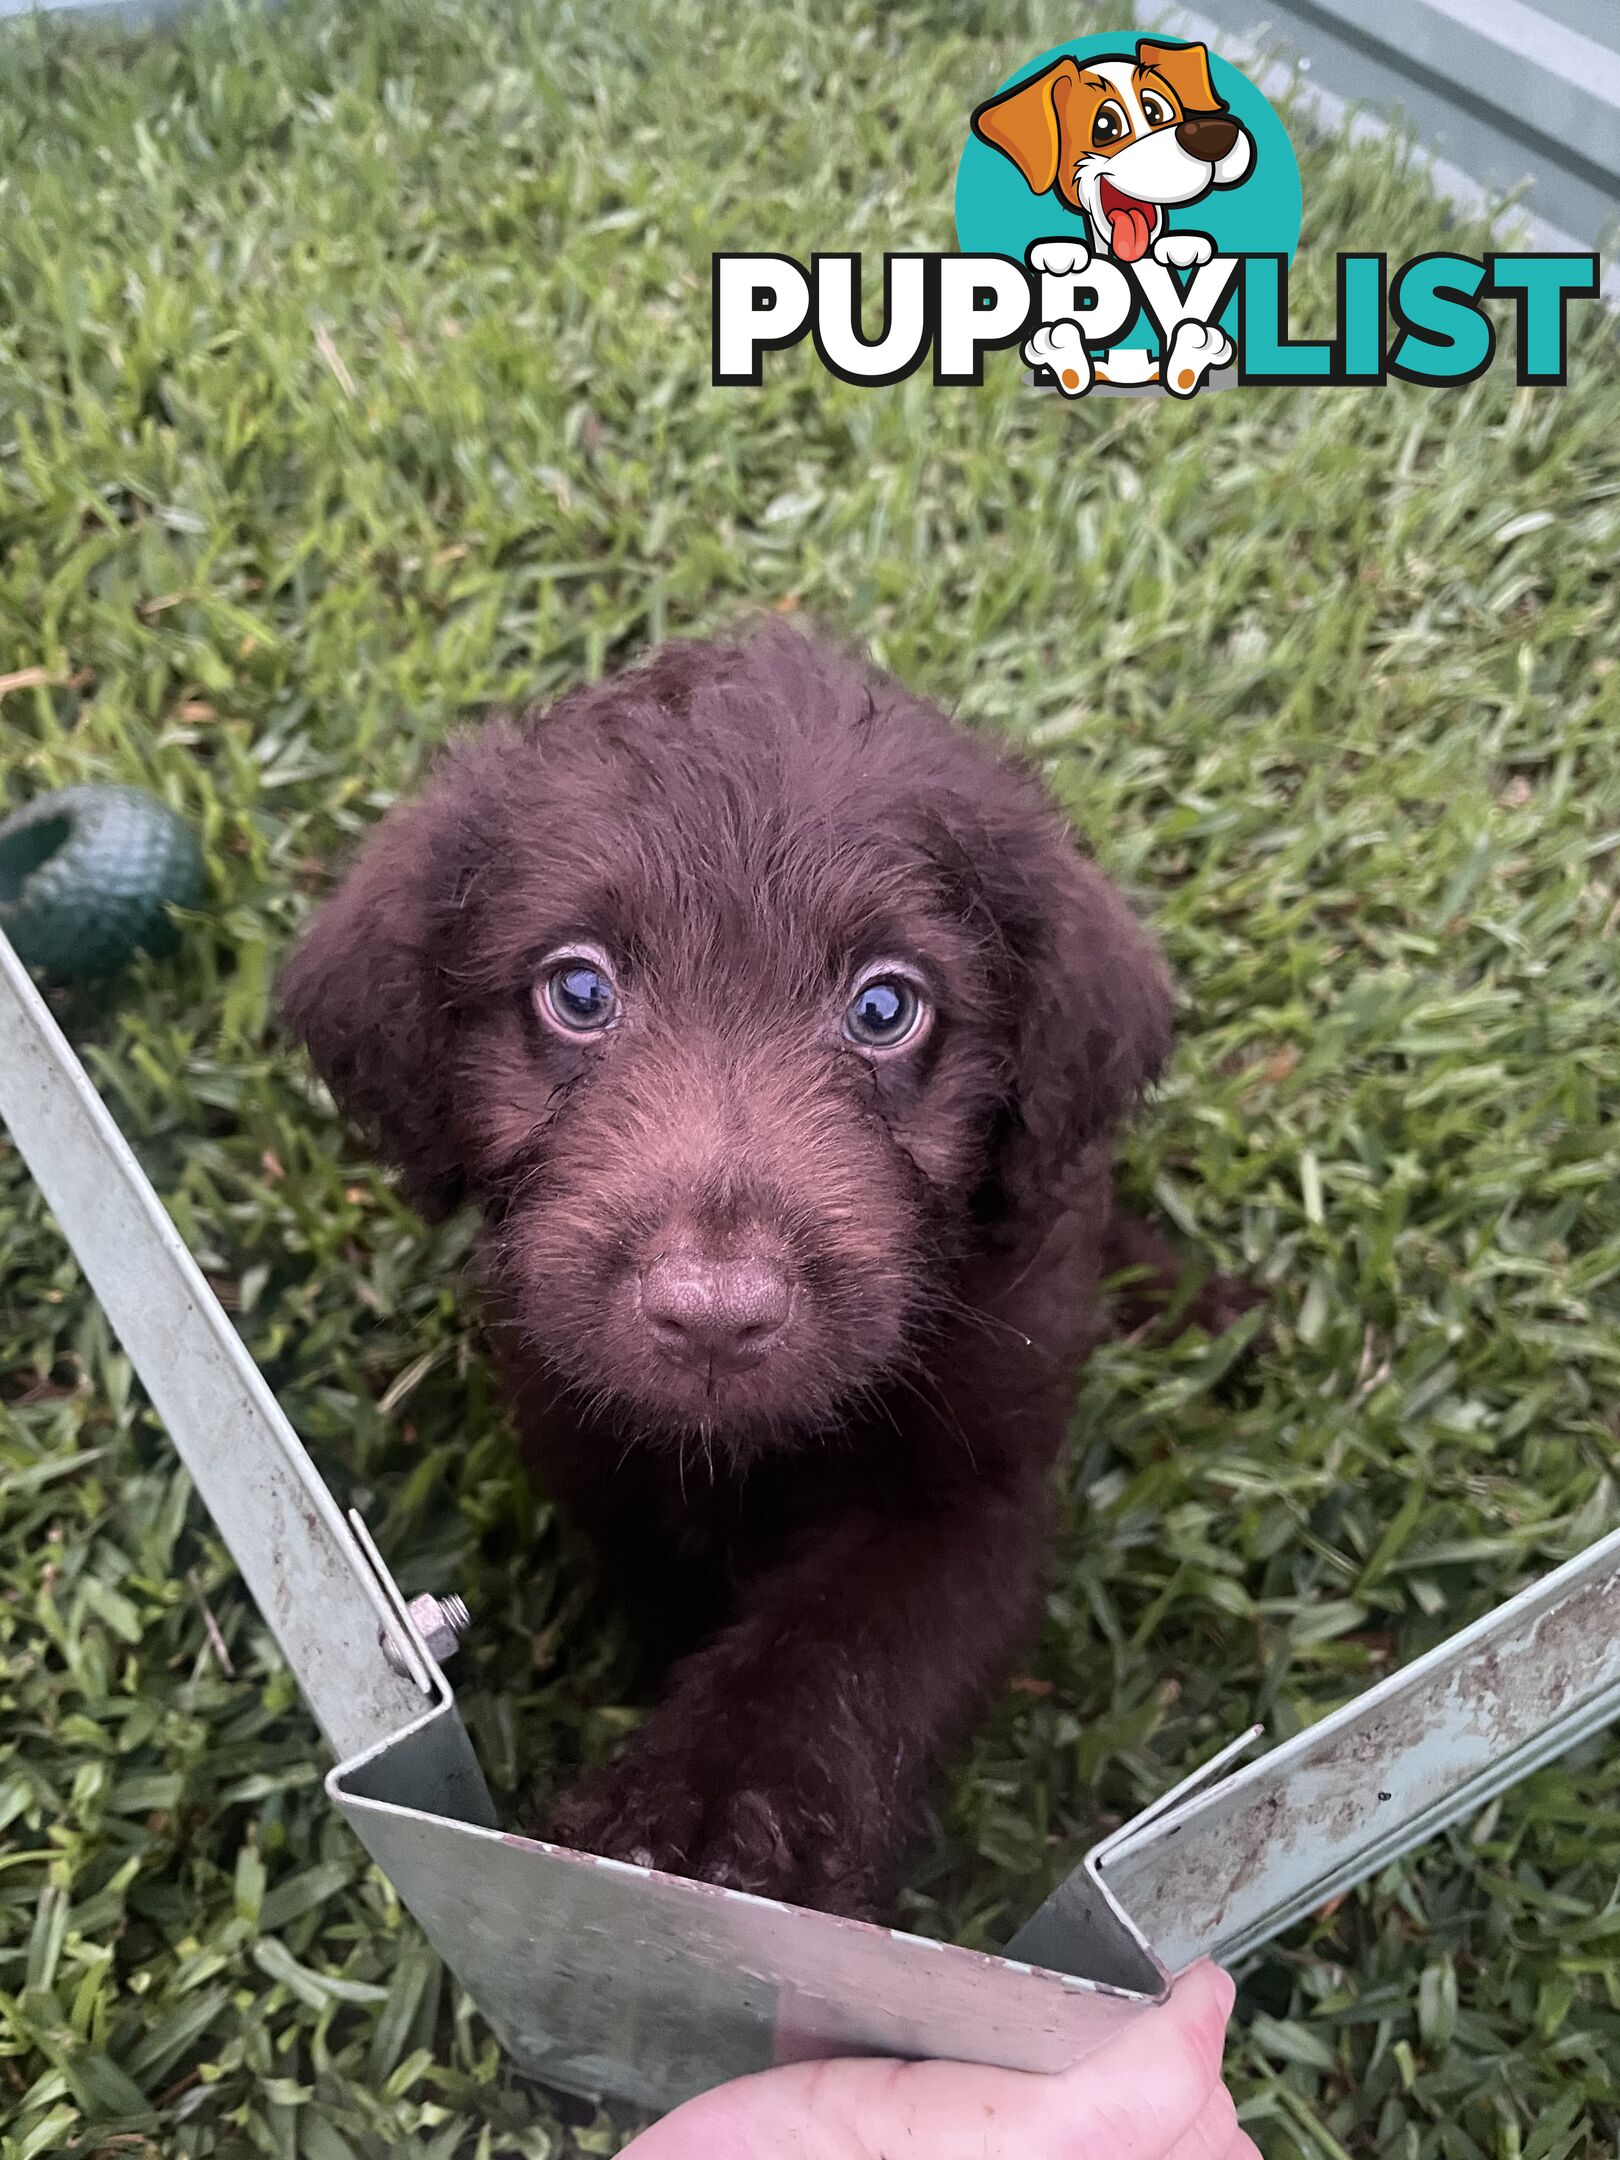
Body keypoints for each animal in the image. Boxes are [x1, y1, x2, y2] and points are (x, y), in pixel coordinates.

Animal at [282, 630, 1209, 1918]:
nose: (716, 1316)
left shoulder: (978, 1491)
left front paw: (716, 1819)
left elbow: (845, 1645)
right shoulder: (592, 1440)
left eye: (886, 1006)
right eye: (578, 991)